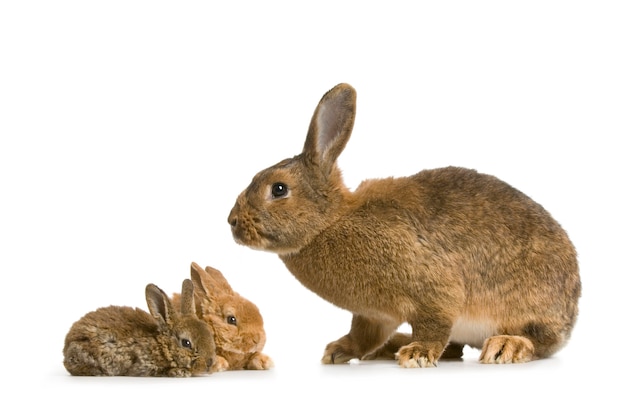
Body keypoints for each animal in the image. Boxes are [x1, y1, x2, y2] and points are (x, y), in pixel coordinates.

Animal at [228, 82, 580, 368]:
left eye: (278, 189)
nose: (232, 222)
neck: (330, 221)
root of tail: (572, 311)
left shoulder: (434, 290)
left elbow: (434, 323)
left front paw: (419, 354)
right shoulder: (372, 313)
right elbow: (363, 334)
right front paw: (338, 351)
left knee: (539, 341)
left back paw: (505, 346)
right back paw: (392, 346)